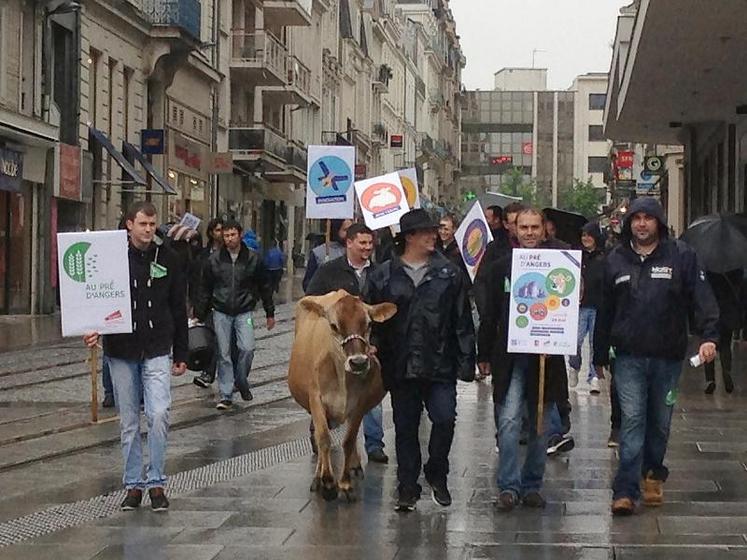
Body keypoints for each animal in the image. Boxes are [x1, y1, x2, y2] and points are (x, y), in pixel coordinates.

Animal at [290, 290, 400, 500]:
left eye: (369, 324)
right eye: (334, 325)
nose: (358, 362)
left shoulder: (359, 404)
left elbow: (348, 440)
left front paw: (345, 484)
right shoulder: (316, 399)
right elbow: (323, 438)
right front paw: (327, 481)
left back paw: (354, 466)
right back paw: (317, 478)